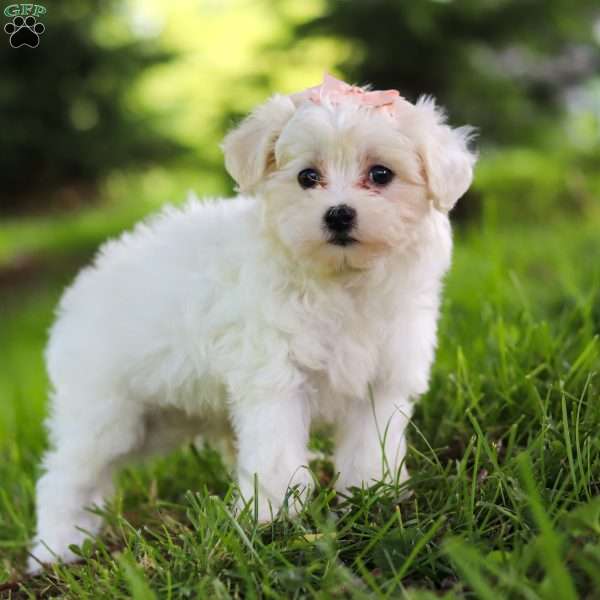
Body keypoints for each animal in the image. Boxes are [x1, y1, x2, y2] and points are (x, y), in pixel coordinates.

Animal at [30, 72, 476, 568]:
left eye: (381, 174)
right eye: (307, 177)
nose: (339, 214)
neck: (341, 281)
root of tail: (83, 286)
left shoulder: (382, 377)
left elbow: (369, 444)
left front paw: (370, 497)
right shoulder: (275, 377)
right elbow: (276, 452)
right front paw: (275, 518)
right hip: (109, 413)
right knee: (66, 475)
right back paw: (56, 548)